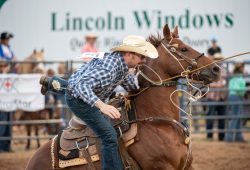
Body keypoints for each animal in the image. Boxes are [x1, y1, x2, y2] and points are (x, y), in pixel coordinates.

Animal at [25, 24, 221, 169]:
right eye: (183, 49)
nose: (216, 69)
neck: (156, 121)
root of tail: (33, 160)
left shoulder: (187, 166)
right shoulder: (162, 167)